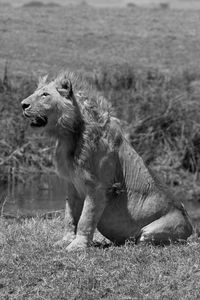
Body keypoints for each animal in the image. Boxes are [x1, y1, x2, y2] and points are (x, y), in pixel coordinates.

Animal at [21, 70, 193, 251]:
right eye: (36, 93)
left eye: (45, 95)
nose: (23, 105)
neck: (69, 136)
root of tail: (191, 228)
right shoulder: (72, 184)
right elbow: (69, 216)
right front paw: (65, 241)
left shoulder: (97, 187)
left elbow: (86, 218)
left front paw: (77, 246)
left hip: (153, 231)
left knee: (147, 240)